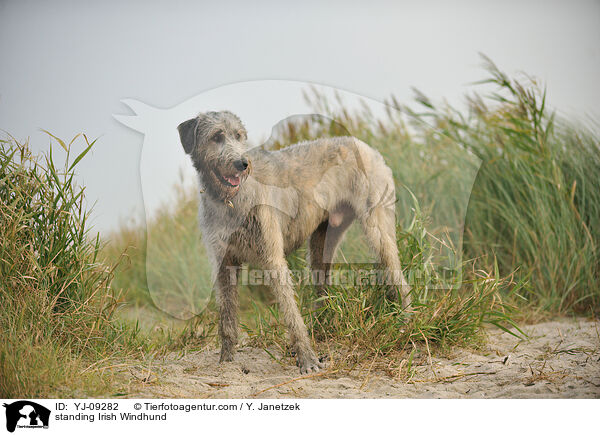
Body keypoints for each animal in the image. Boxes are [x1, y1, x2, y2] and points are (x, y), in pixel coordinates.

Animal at [177, 112, 412, 374]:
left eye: (239, 136)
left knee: (399, 278)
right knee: (322, 285)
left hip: (377, 229)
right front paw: (225, 362)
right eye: (217, 136)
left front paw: (307, 360)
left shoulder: (272, 257)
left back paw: (405, 323)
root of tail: (367, 147)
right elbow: (227, 317)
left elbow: (290, 311)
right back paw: (321, 330)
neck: (230, 200)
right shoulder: (223, 262)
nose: (242, 163)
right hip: (322, 242)